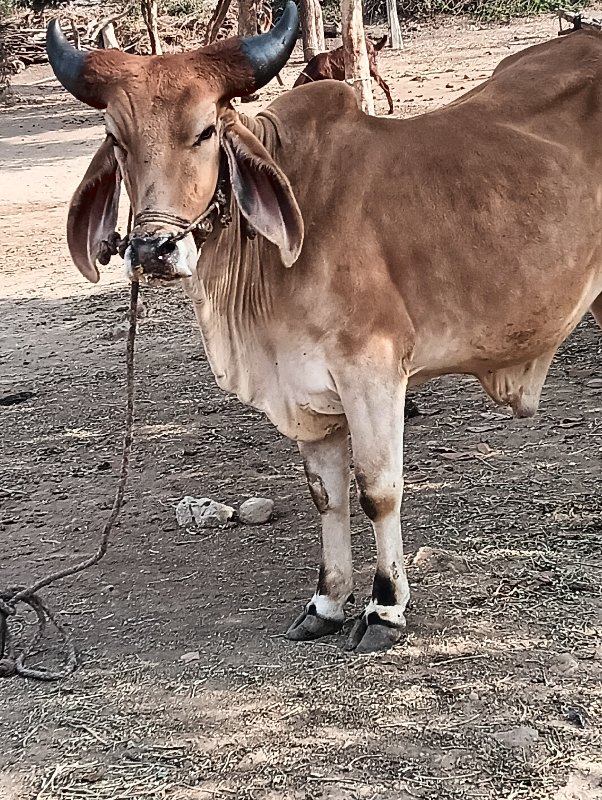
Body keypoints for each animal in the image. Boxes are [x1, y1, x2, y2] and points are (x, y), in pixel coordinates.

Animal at [45, 6, 600, 652]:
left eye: (206, 131)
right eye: (116, 138)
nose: (153, 250)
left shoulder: (372, 371)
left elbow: (377, 490)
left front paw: (385, 608)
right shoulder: (304, 392)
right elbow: (325, 496)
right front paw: (327, 602)